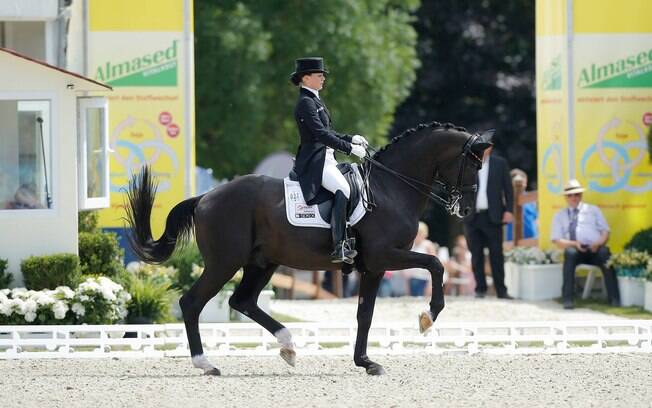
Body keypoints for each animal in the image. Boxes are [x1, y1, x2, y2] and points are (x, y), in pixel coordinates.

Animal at [125, 121, 492, 376]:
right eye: (474, 166)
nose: (466, 211)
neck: (390, 188)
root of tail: (205, 197)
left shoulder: (372, 267)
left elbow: (365, 315)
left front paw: (366, 362)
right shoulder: (385, 256)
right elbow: (435, 264)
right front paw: (428, 317)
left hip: (262, 263)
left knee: (242, 301)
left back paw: (288, 346)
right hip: (224, 263)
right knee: (192, 303)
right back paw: (206, 363)